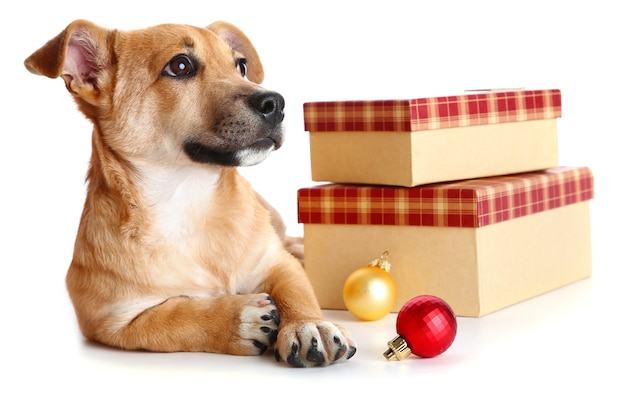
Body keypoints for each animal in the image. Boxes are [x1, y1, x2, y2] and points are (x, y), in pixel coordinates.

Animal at [24, 20, 356, 368]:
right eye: (180, 66)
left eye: (241, 66)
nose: (276, 104)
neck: (189, 200)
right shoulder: (114, 321)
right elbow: (175, 317)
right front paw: (237, 318)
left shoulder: (275, 262)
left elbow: (296, 290)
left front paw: (309, 324)